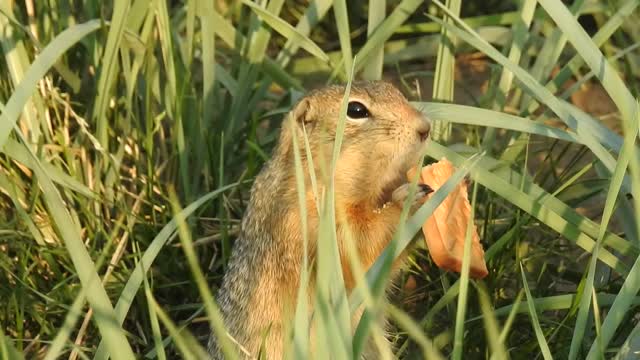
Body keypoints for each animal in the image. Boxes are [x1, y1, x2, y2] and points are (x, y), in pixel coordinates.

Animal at [209, 80, 430, 358]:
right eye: (356, 110)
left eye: (394, 89)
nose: (425, 127)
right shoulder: (306, 223)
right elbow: (359, 246)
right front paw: (409, 200)